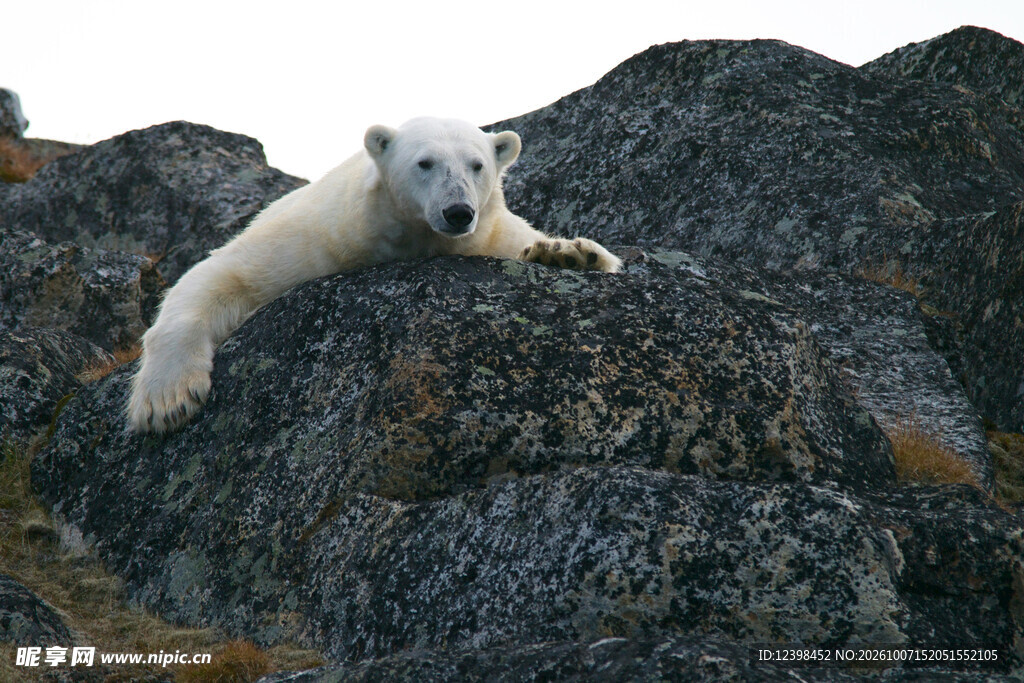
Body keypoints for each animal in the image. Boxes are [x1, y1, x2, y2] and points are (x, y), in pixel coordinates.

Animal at [127, 117, 621, 433]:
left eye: (477, 165)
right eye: (425, 162)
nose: (458, 211)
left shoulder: (490, 233)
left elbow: (531, 243)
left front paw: (568, 254)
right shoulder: (316, 238)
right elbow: (223, 273)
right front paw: (167, 402)